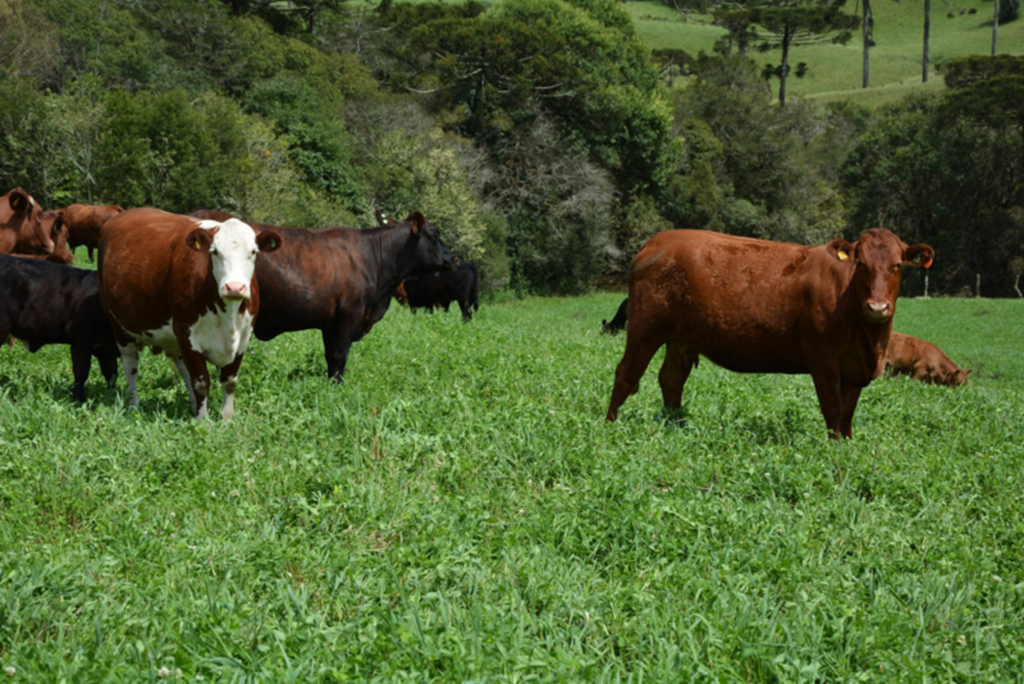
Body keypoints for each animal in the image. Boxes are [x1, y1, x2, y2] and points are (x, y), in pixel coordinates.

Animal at [0, 253, 118, 397]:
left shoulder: (106, 350)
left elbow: (111, 375)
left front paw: (113, 396)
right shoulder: (81, 340)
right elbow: (81, 372)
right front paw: (78, 398)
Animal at [98, 205, 282, 419]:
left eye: (253, 252)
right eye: (215, 252)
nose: (235, 287)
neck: (228, 318)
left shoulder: (244, 336)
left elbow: (229, 381)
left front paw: (226, 419)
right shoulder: (187, 332)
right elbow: (201, 382)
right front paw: (203, 420)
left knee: (181, 366)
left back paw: (193, 405)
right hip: (117, 323)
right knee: (131, 364)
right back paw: (133, 404)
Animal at [191, 205, 452, 382]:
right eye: (436, 233)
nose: (452, 257)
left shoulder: (331, 323)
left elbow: (330, 357)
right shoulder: (349, 316)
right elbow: (339, 356)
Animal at [606, 227, 937, 440]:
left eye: (897, 265)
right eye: (861, 264)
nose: (877, 307)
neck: (868, 339)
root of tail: (656, 241)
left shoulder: (855, 370)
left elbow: (846, 415)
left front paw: (848, 447)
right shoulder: (823, 361)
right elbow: (832, 410)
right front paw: (834, 452)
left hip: (681, 340)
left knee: (672, 378)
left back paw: (676, 425)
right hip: (644, 328)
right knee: (626, 374)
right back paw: (610, 426)